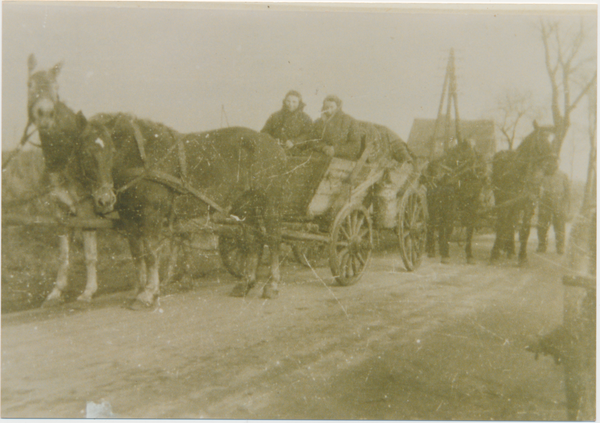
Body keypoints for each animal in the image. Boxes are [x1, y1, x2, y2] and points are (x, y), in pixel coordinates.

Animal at [23, 54, 115, 304]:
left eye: (56, 87)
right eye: (30, 85)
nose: (45, 114)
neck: (65, 160)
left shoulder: (87, 212)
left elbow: (89, 254)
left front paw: (88, 291)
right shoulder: (60, 212)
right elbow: (63, 256)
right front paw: (57, 291)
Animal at [76, 112, 288, 310]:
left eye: (112, 151)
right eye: (85, 153)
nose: (105, 199)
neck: (141, 157)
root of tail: (272, 144)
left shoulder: (151, 215)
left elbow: (151, 254)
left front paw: (149, 294)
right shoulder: (130, 218)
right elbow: (137, 255)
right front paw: (139, 292)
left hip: (270, 202)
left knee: (273, 239)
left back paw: (273, 286)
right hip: (246, 204)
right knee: (252, 240)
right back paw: (245, 283)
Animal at [490, 121, 556, 264]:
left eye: (551, 141)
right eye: (540, 140)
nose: (553, 166)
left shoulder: (529, 204)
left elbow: (525, 229)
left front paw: (523, 256)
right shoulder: (506, 202)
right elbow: (502, 223)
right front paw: (495, 252)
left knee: (512, 222)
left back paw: (510, 249)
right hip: (500, 199)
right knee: (505, 222)